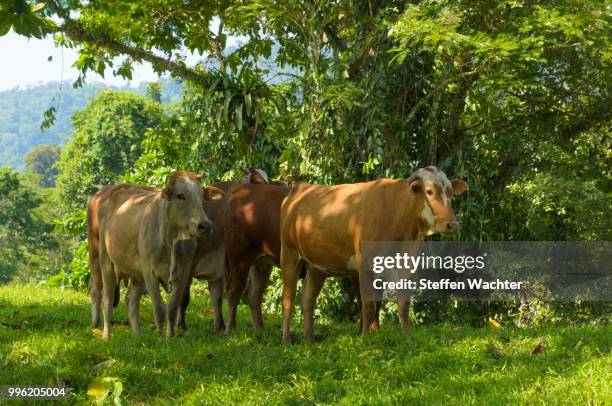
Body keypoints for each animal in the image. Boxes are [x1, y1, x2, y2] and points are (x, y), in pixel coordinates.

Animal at [97, 171, 226, 340]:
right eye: (180, 195)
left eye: (201, 195)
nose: (205, 225)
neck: (170, 239)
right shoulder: (149, 271)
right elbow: (159, 308)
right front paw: (159, 336)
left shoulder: (183, 273)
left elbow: (172, 308)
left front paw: (169, 337)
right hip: (106, 262)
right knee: (107, 300)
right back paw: (106, 336)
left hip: (137, 276)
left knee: (132, 303)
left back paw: (137, 335)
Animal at [280, 167, 466, 344]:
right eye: (429, 191)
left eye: (450, 191)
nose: (452, 225)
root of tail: (301, 188)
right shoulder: (365, 266)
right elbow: (368, 306)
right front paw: (364, 337)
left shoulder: (406, 265)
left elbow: (402, 304)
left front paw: (407, 337)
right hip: (289, 254)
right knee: (288, 299)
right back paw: (287, 341)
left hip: (317, 266)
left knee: (308, 299)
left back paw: (309, 340)